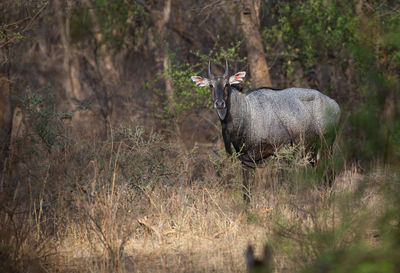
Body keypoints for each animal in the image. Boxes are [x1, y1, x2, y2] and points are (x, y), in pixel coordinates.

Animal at [191, 60, 340, 200]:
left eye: (227, 84)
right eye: (211, 85)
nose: (219, 103)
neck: (248, 115)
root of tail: (335, 105)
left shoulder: (283, 151)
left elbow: (286, 185)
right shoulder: (246, 161)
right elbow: (246, 192)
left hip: (326, 145)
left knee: (330, 173)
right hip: (312, 151)